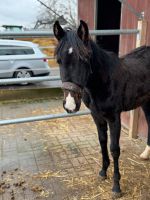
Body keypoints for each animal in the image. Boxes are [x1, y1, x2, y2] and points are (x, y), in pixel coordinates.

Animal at [53, 19, 150, 198]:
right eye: (59, 60)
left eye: (84, 59)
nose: (70, 105)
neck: (103, 81)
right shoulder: (97, 116)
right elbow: (102, 142)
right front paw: (103, 172)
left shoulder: (114, 118)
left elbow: (114, 149)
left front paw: (116, 187)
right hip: (146, 102)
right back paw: (146, 154)